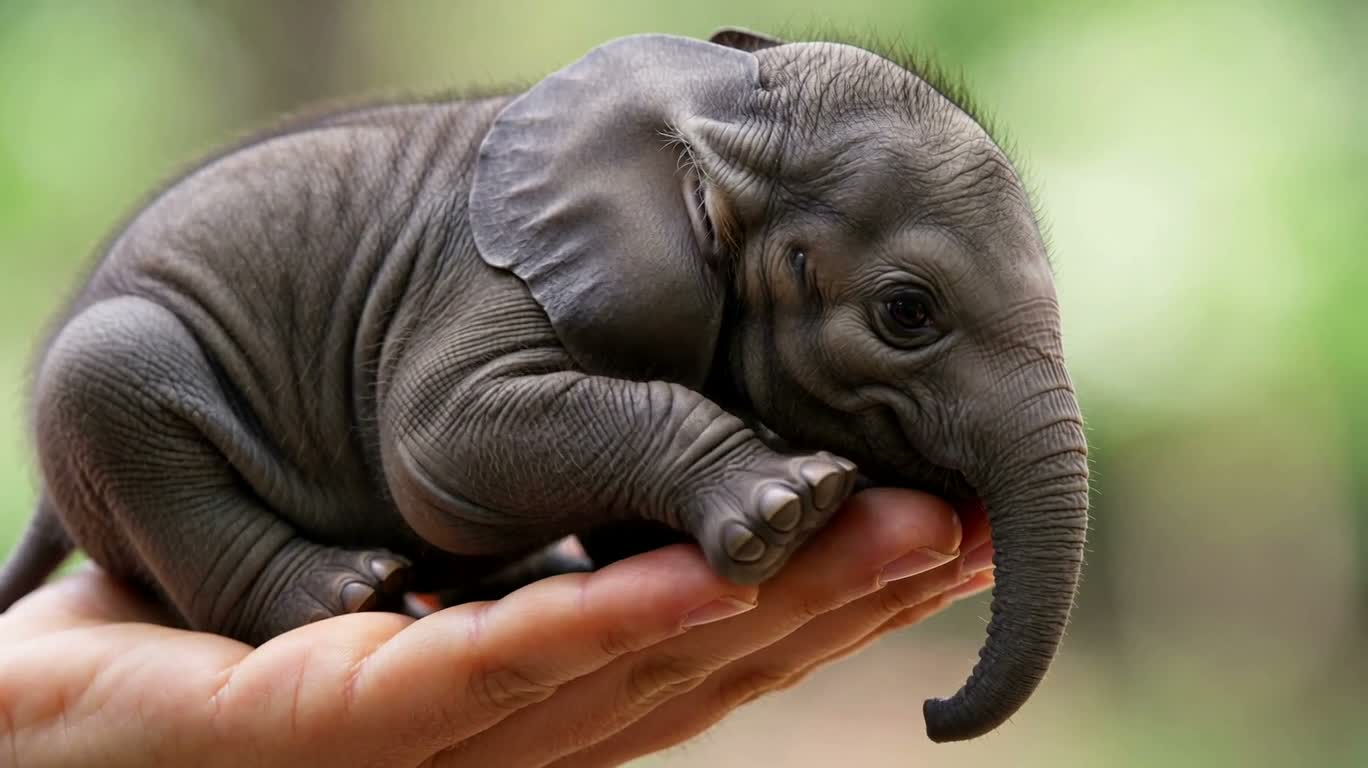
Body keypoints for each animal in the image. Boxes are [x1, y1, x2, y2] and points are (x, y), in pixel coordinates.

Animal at [0, 28, 1089, 742]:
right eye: (907, 313)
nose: (932, 715)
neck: (710, 103)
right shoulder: (479, 281)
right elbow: (439, 447)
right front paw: (794, 503)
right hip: (108, 382)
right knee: (120, 374)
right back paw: (352, 591)